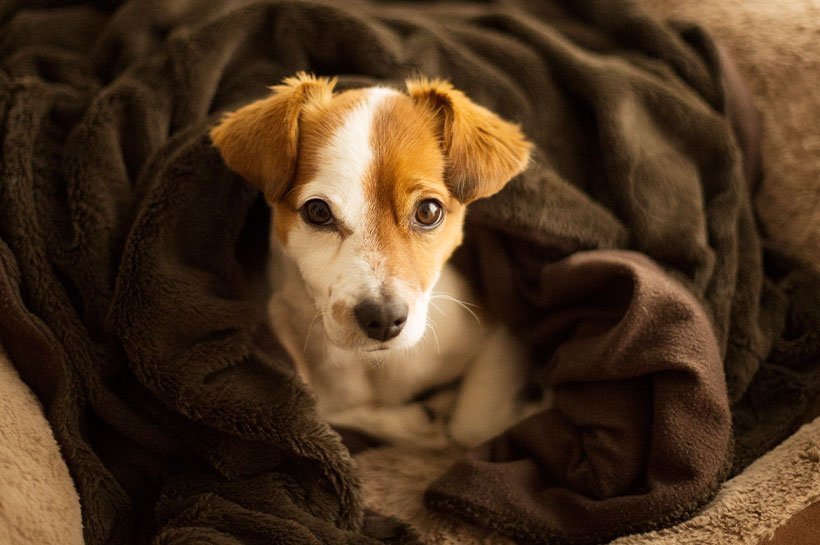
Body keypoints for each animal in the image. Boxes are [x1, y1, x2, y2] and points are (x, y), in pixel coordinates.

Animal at [211, 72, 544, 446]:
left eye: (429, 211)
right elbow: (324, 411)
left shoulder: (504, 334)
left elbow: (470, 428)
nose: (383, 318)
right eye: (317, 211)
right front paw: (415, 421)